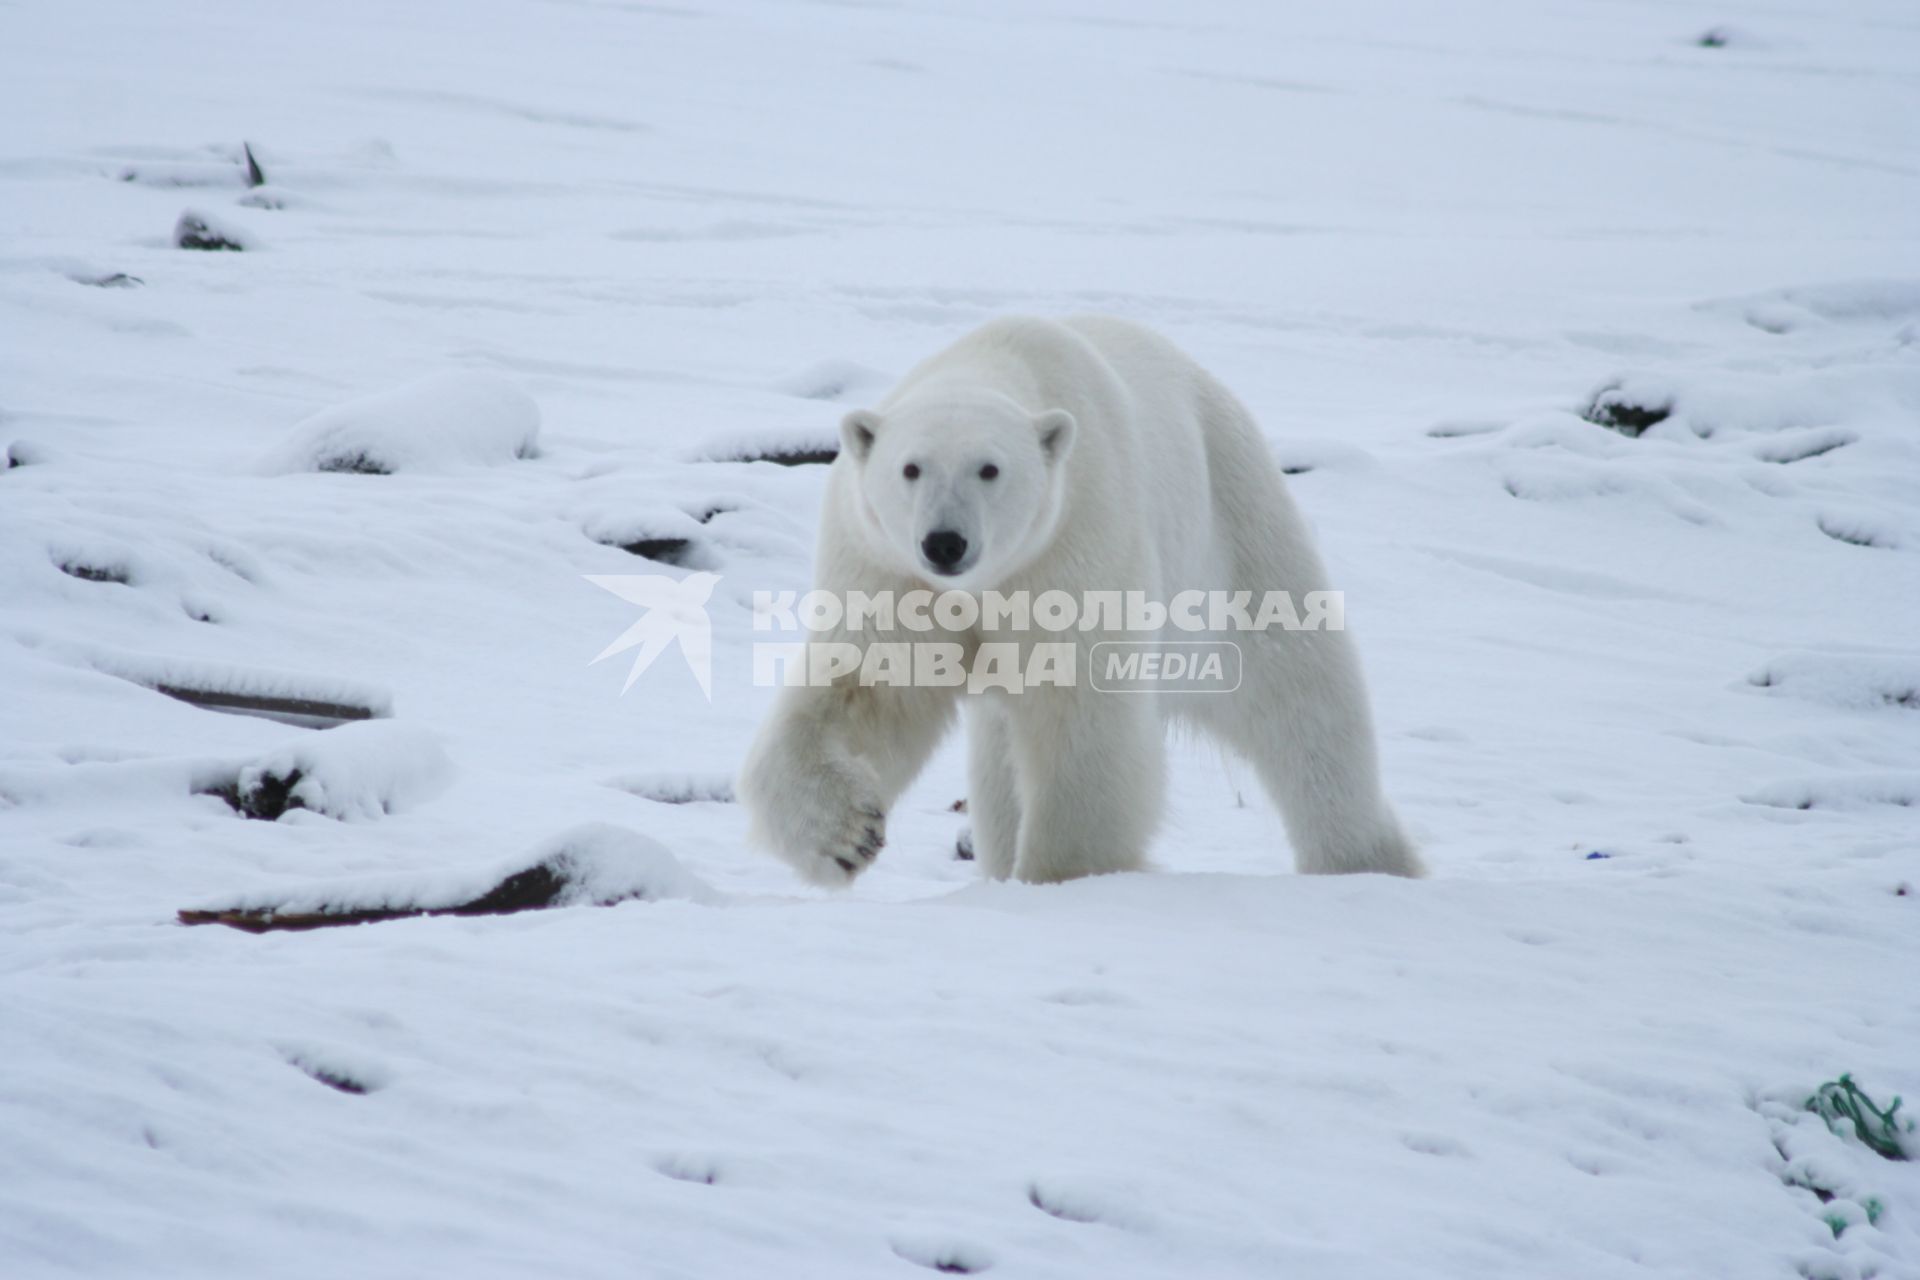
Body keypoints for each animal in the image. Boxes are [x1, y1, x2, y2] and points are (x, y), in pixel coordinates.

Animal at [733, 314, 1428, 886]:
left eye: (990, 469)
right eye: (910, 468)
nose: (945, 542)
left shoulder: (1077, 540)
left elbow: (1080, 717)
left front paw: (1063, 876)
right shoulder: (889, 569)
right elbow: (868, 688)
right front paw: (845, 837)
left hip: (1231, 528)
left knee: (1300, 697)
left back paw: (1367, 860)